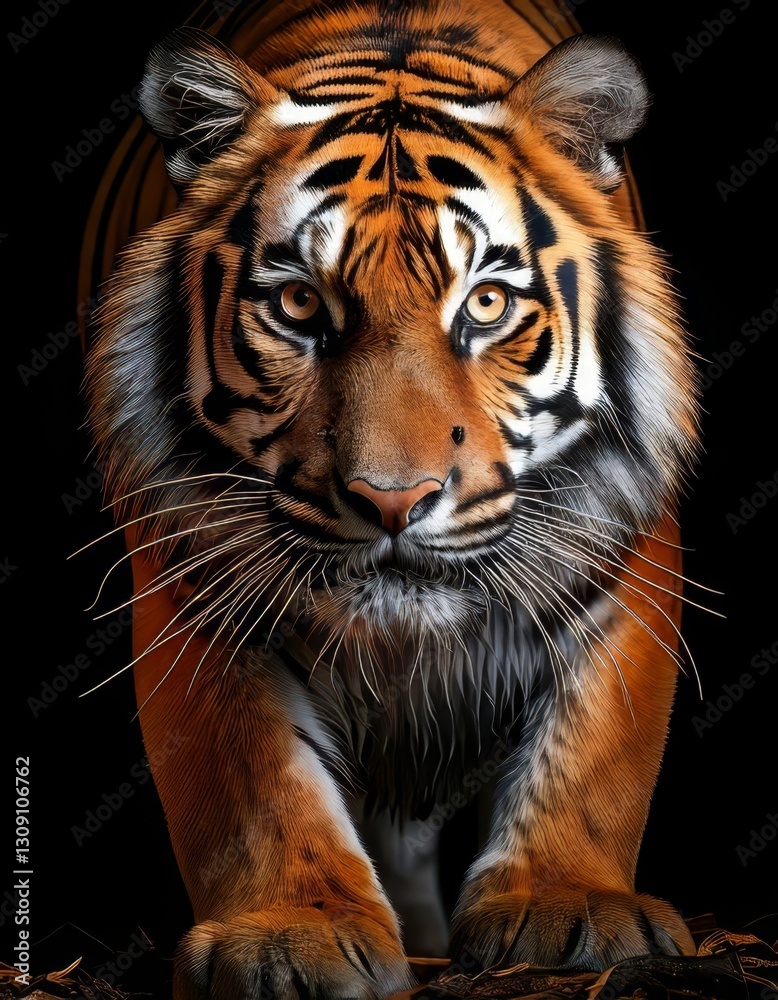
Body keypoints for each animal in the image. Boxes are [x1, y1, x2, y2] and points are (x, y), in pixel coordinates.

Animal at [83, 0, 701, 997]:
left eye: (485, 305)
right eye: (299, 306)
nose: (392, 500)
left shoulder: (622, 538)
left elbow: (597, 752)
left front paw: (566, 904)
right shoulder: (193, 568)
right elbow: (251, 778)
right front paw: (293, 931)